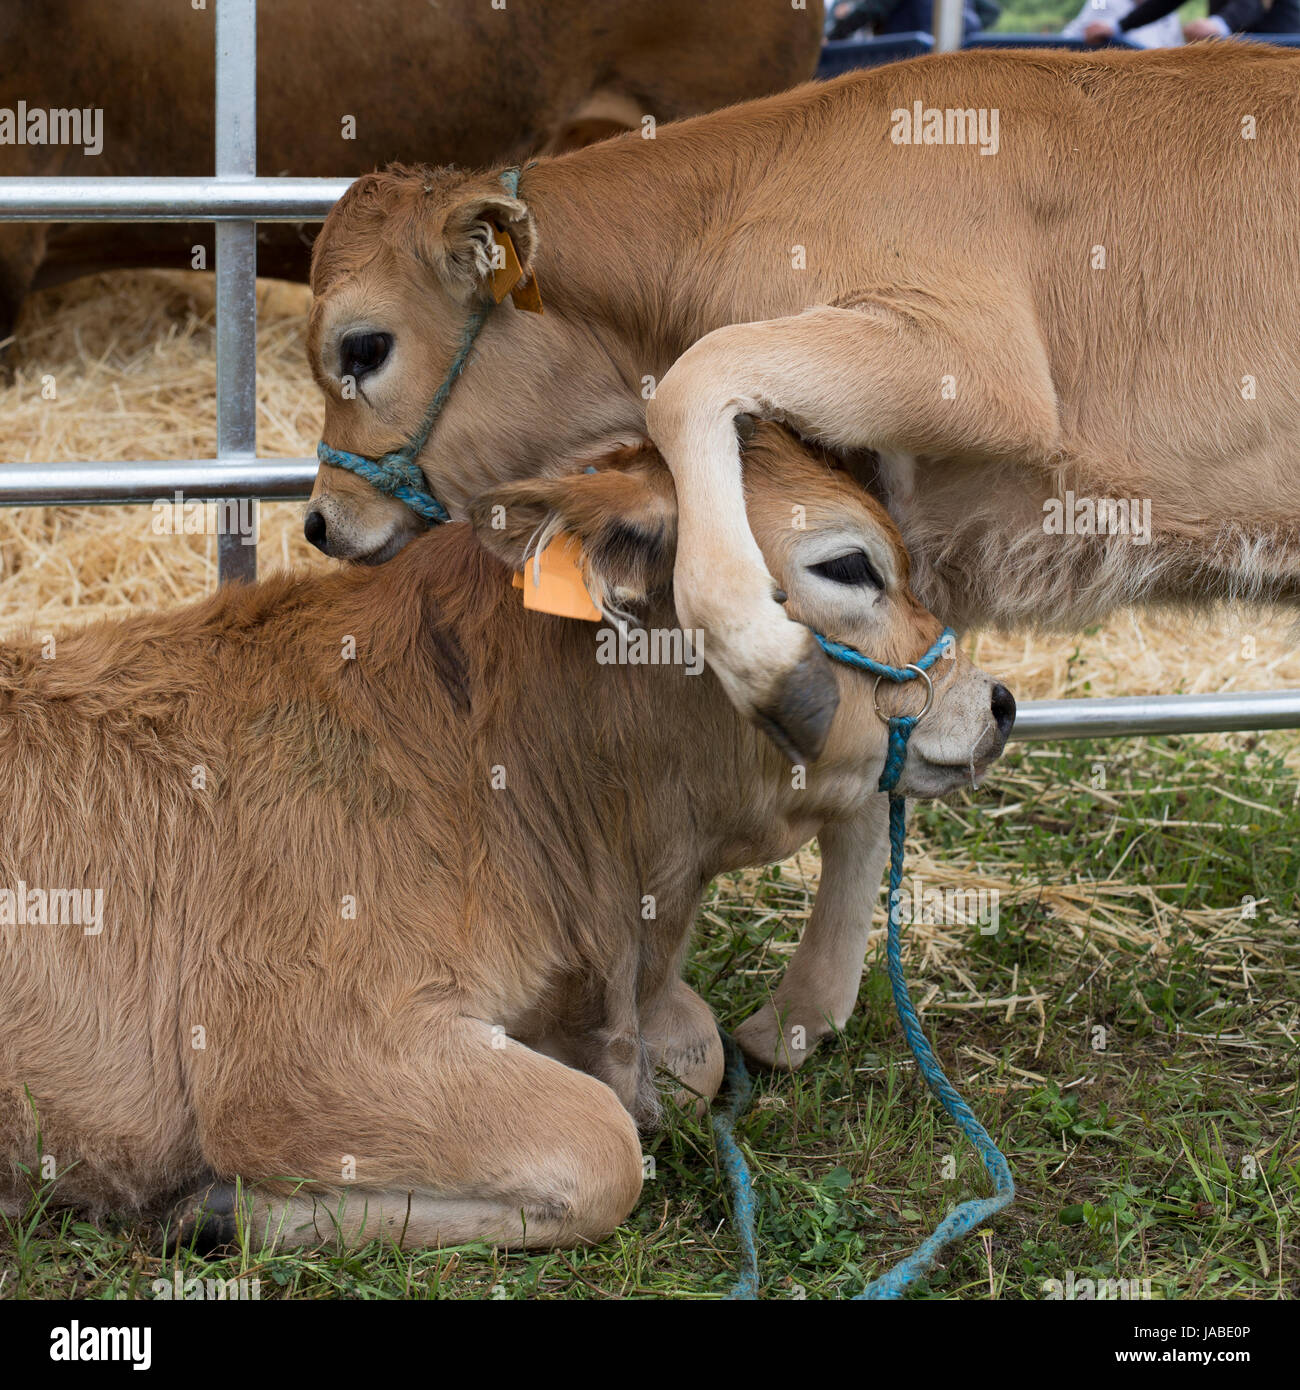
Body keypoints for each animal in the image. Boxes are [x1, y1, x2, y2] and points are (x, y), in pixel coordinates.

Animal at [0, 425, 1012, 1251]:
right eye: (848, 566)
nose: (998, 702)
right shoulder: (294, 1054)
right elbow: (602, 1147)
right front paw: (220, 1209)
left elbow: (697, 1051)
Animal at [303, 45, 1300, 1063]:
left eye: (363, 346)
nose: (321, 520)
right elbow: (885, 746)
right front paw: (803, 1013)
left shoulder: (972, 363)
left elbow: (698, 377)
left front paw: (762, 651)